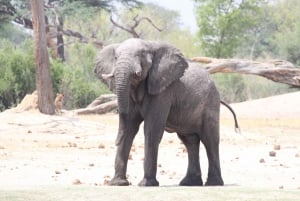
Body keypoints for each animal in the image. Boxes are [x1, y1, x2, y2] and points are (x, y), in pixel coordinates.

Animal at [94, 38, 239, 187]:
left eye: (141, 56)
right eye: (115, 58)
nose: (115, 142)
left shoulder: (163, 90)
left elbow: (151, 130)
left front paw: (146, 184)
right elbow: (129, 128)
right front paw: (118, 183)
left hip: (210, 102)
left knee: (210, 140)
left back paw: (213, 183)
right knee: (190, 141)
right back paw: (189, 183)